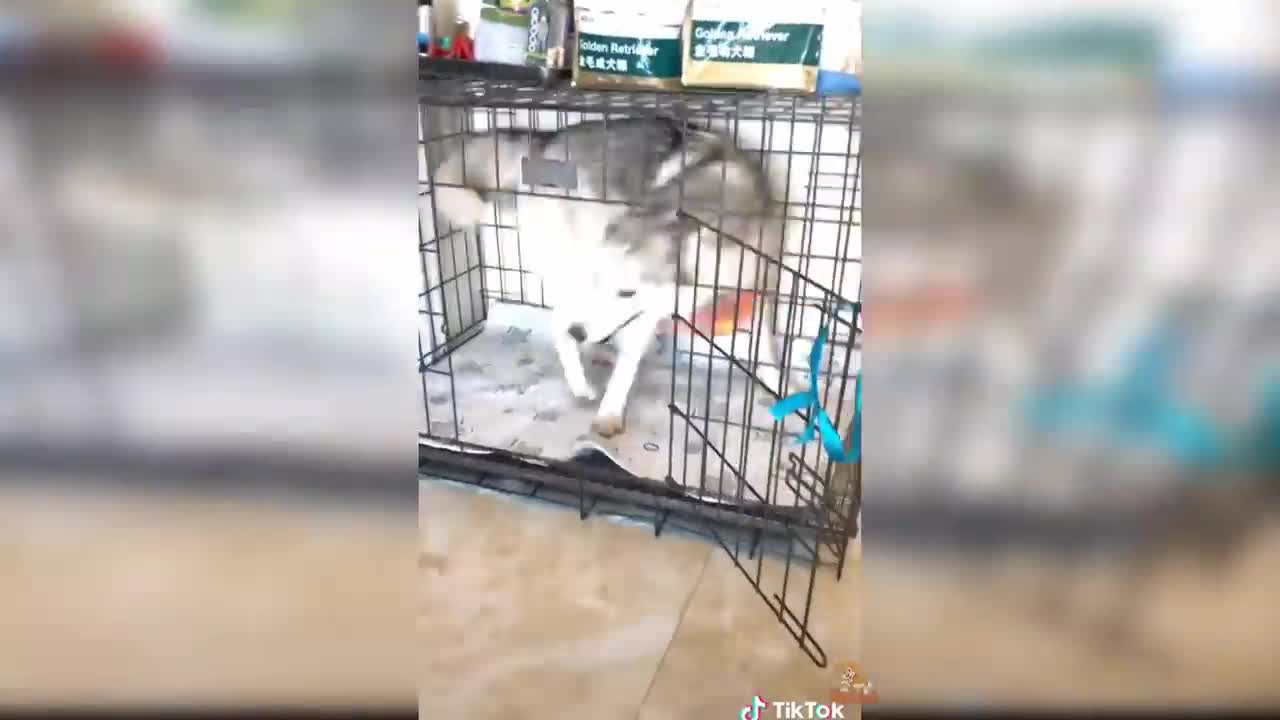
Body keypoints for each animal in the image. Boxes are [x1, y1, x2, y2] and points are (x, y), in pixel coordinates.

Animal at [430, 116, 788, 438]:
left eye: (627, 292)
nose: (579, 332)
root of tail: (545, 141)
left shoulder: (755, 288)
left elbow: (766, 351)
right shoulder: (644, 311)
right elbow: (627, 362)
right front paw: (611, 410)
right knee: (559, 322)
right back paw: (579, 377)